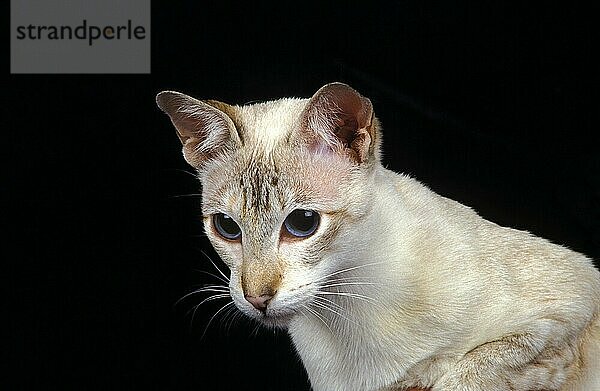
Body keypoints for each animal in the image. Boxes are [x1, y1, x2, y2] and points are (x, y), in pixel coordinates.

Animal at [156, 82, 600, 391]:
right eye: (227, 227)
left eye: (302, 223)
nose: (257, 298)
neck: (347, 309)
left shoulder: (571, 305)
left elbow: (472, 370)